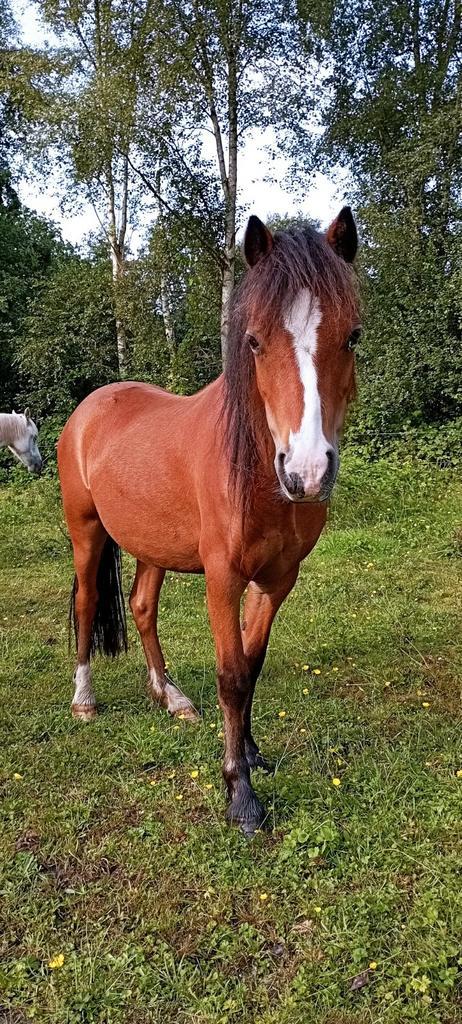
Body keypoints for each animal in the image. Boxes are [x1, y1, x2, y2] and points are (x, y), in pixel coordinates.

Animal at [58, 207, 360, 836]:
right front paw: (239, 794)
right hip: (86, 532)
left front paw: (251, 754)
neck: (256, 474)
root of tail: (90, 407)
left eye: (352, 336)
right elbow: (231, 674)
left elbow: (253, 664)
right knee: (87, 605)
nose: (307, 471)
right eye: (255, 341)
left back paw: (170, 697)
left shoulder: (277, 580)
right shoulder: (223, 580)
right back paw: (84, 701)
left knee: (142, 608)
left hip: (150, 546)